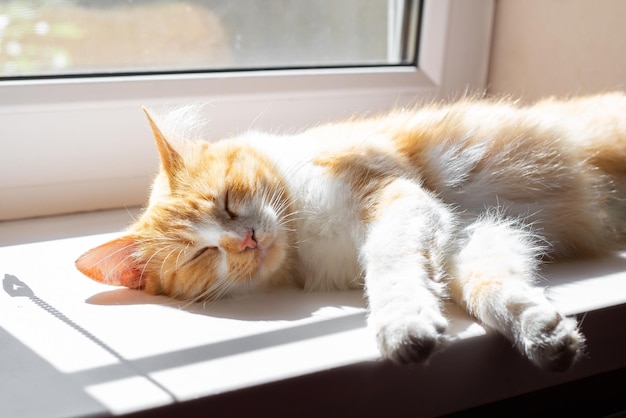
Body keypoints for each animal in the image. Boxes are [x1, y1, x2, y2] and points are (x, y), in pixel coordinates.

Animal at [74, 93, 624, 370]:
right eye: (200, 255)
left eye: (227, 203)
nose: (245, 239)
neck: (303, 238)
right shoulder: (467, 234)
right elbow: (491, 285)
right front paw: (542, 332)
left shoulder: (397, 199)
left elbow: (389, 263)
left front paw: (403, 325)